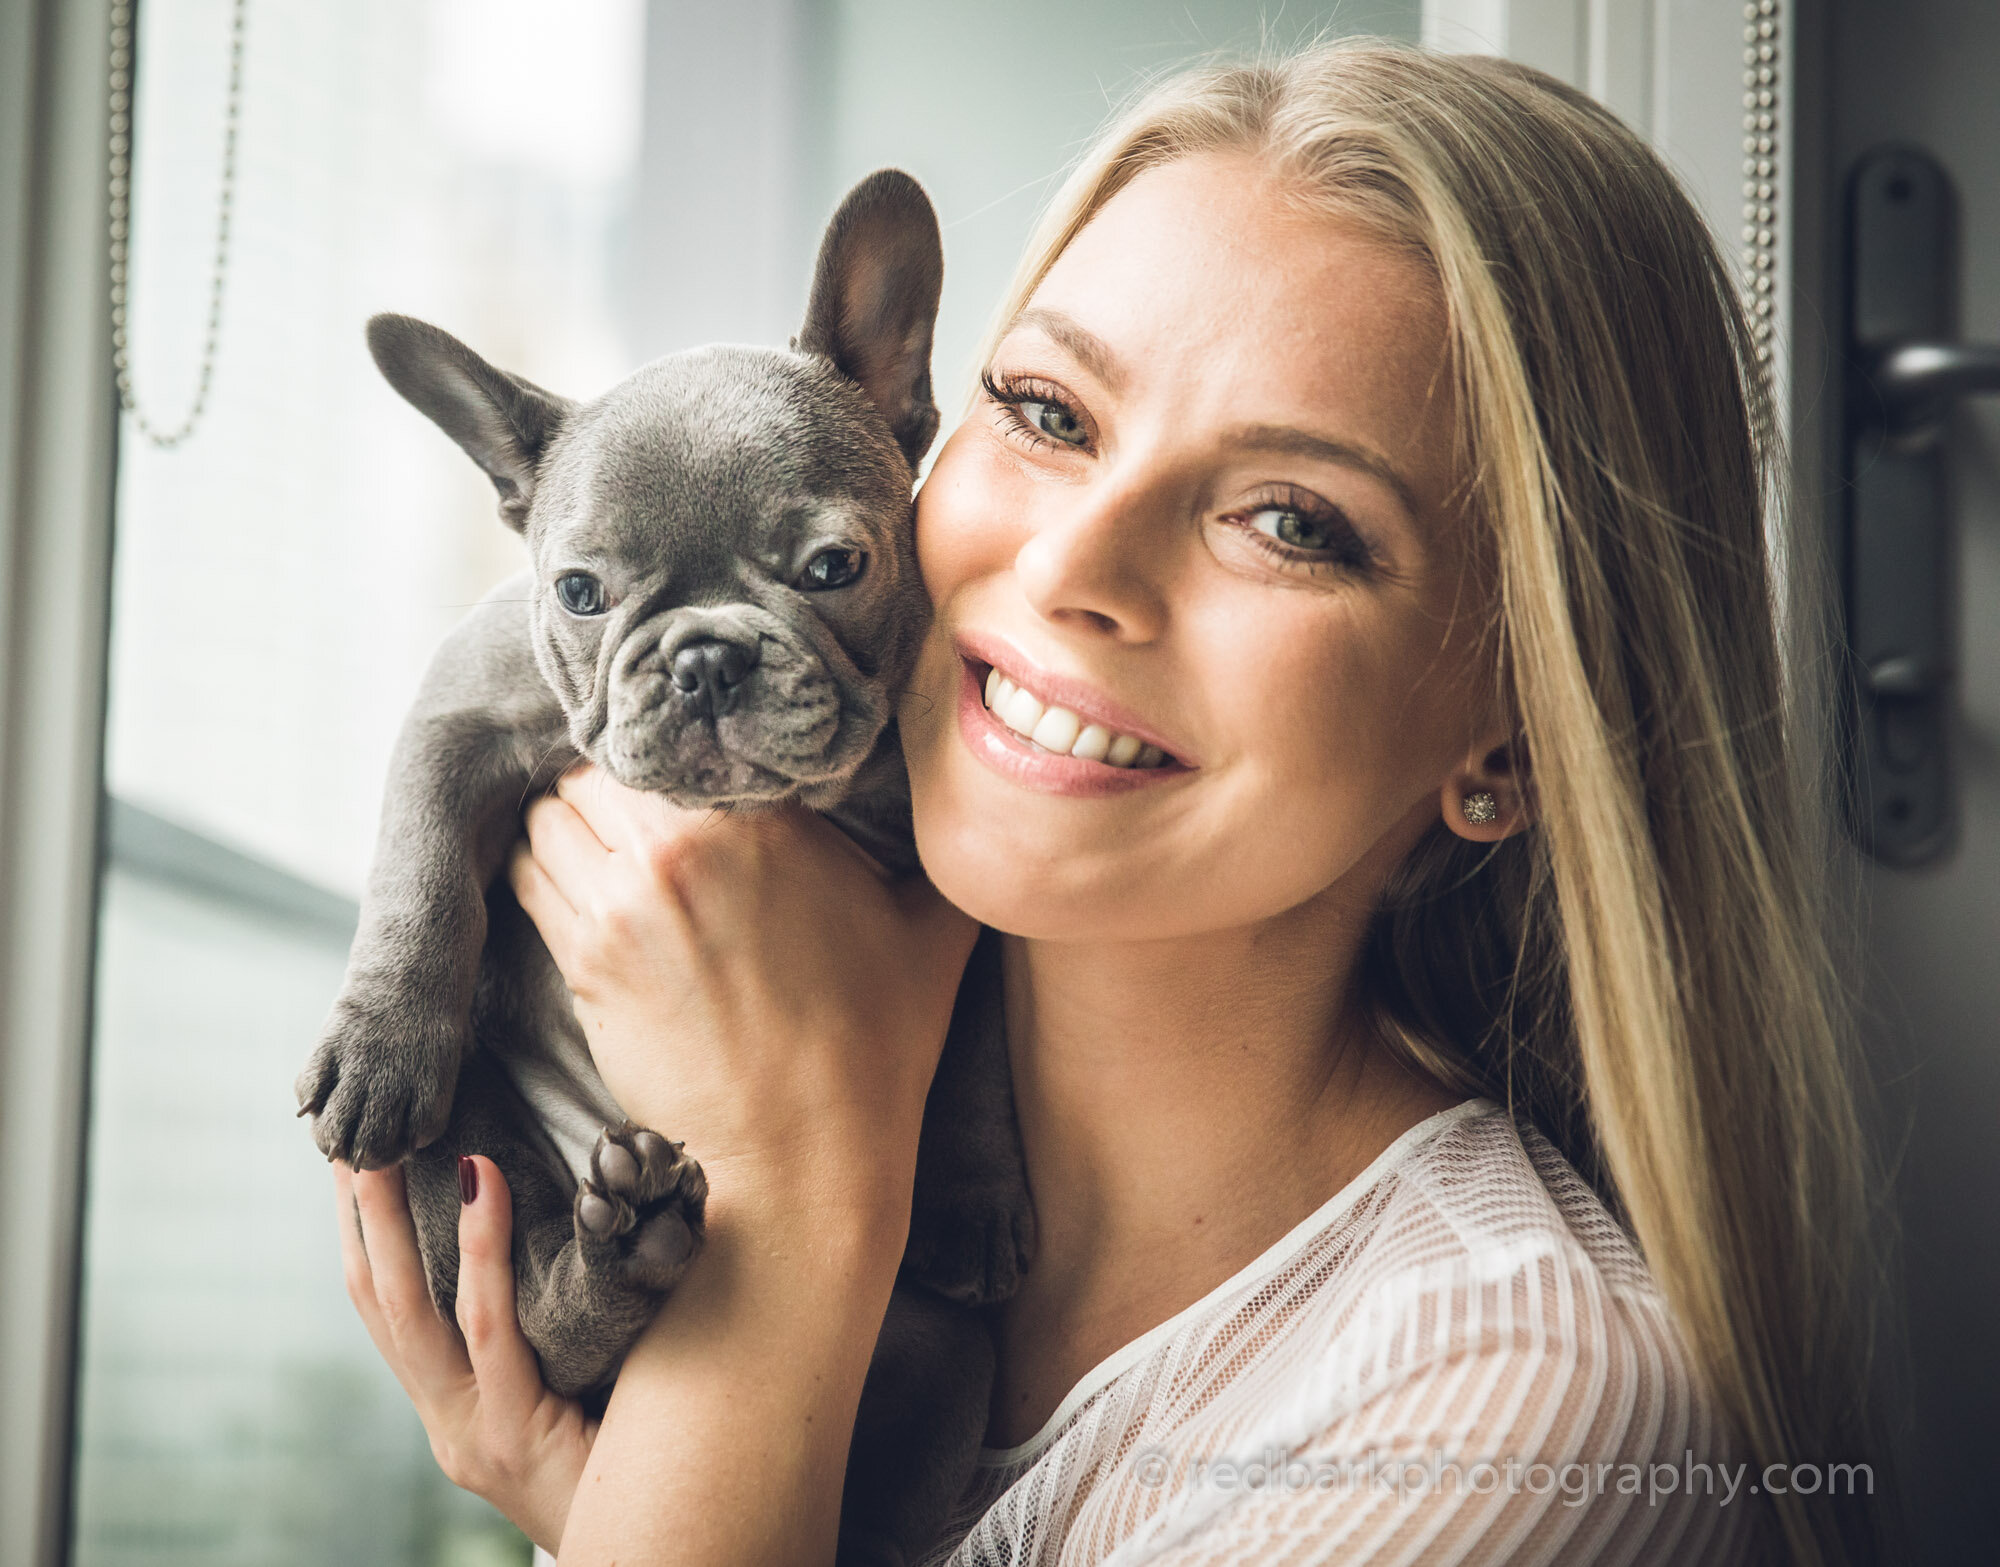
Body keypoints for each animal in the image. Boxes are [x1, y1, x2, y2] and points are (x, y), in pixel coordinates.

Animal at [304, 164, 1040, 1559]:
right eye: (580, 592)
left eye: (835, 566)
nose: (703, 656)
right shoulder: (459, 715)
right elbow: (421, 879)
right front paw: (381, 1042)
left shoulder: (968, 888)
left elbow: (977, 1041)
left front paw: (975, 1189)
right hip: (467, 1163)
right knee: (526, 1319)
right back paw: (615, 1253)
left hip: (947, 1359)